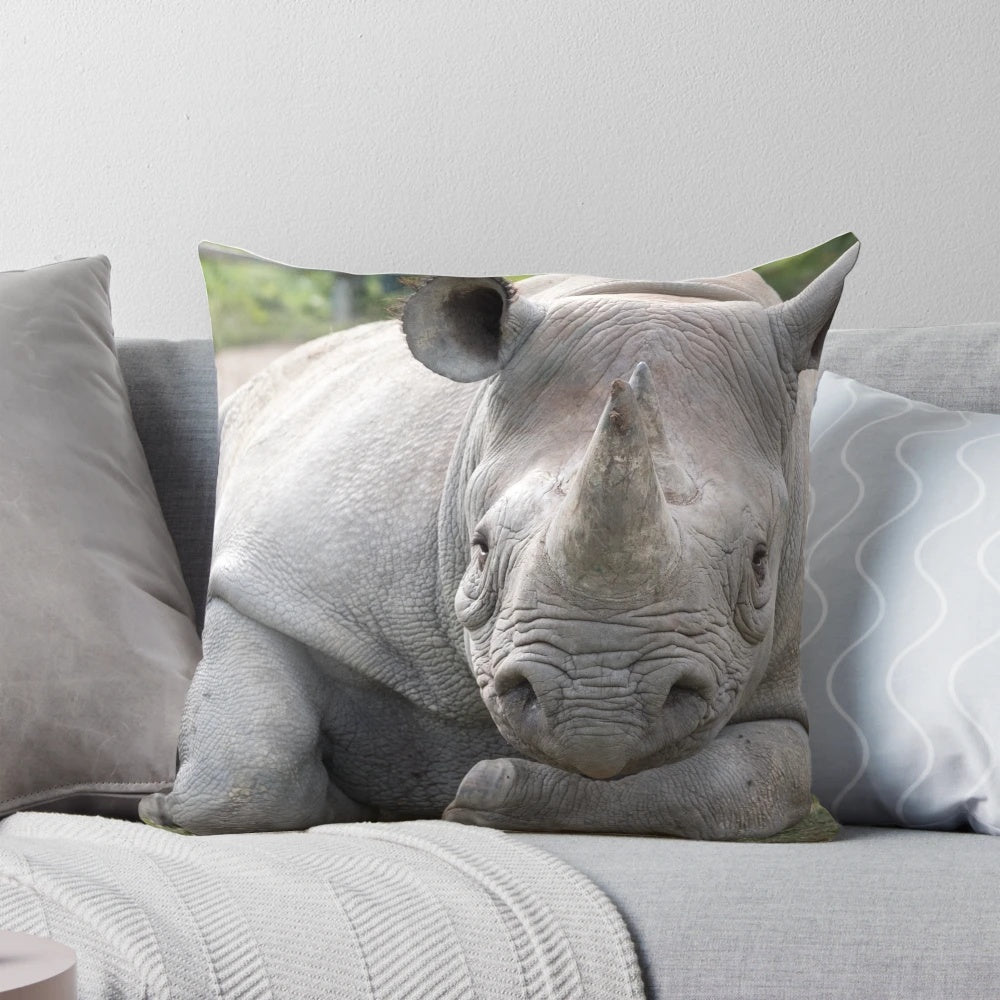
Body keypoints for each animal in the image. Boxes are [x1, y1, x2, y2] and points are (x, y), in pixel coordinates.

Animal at [140, 236, 859, 840]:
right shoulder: (277, 573)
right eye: (480, 549)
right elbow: (244, 768)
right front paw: (161, 805)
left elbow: (755, 781)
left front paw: (485, 794)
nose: (595, 705)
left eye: (762, 562)